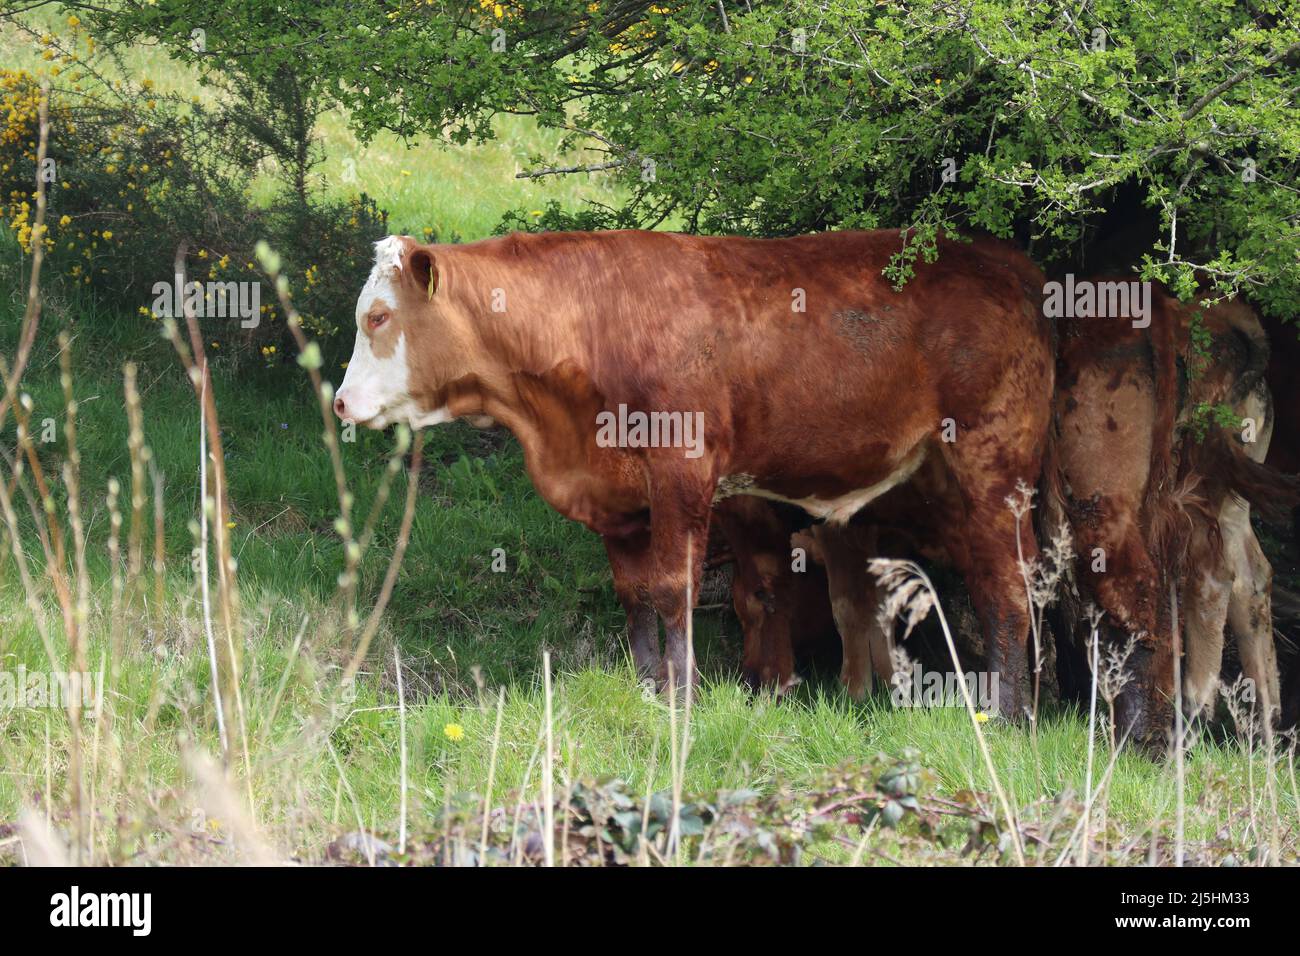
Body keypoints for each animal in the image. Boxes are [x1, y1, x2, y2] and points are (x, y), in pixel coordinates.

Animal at [332, 230, 1056, 717]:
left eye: (378, 316)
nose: (339, 402)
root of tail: (1003, 262)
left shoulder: (684, 471)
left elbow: (673, 589)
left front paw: (683, 698)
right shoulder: (618, 500)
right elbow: (634, 595)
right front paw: (647, 687)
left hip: (992, 466)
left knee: (1005, 584)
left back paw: (1004, 715)